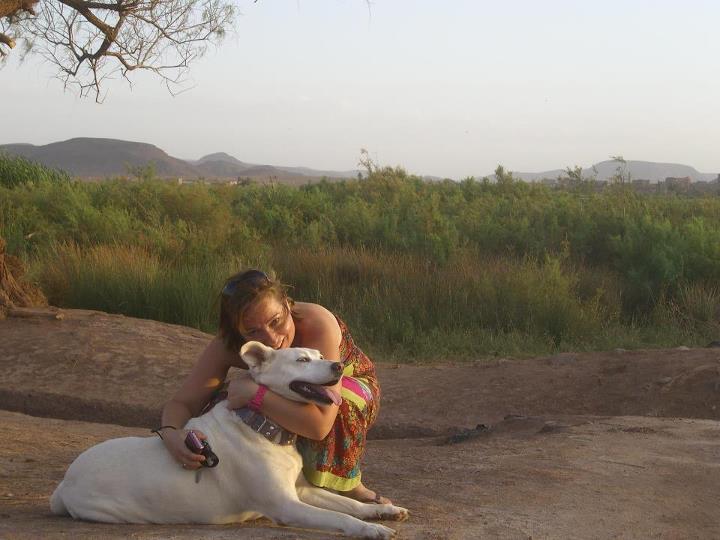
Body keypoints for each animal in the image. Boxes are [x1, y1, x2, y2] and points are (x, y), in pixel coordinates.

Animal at [49, 340, 410, 536]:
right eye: (302, 360)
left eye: (321, 355)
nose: (337, 365)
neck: (263, 425)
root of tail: (64, 483)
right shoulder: (286, 505)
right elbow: (339, 516)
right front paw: (371, 530)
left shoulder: (301, 490)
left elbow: (348, 504)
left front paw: (384, 510)